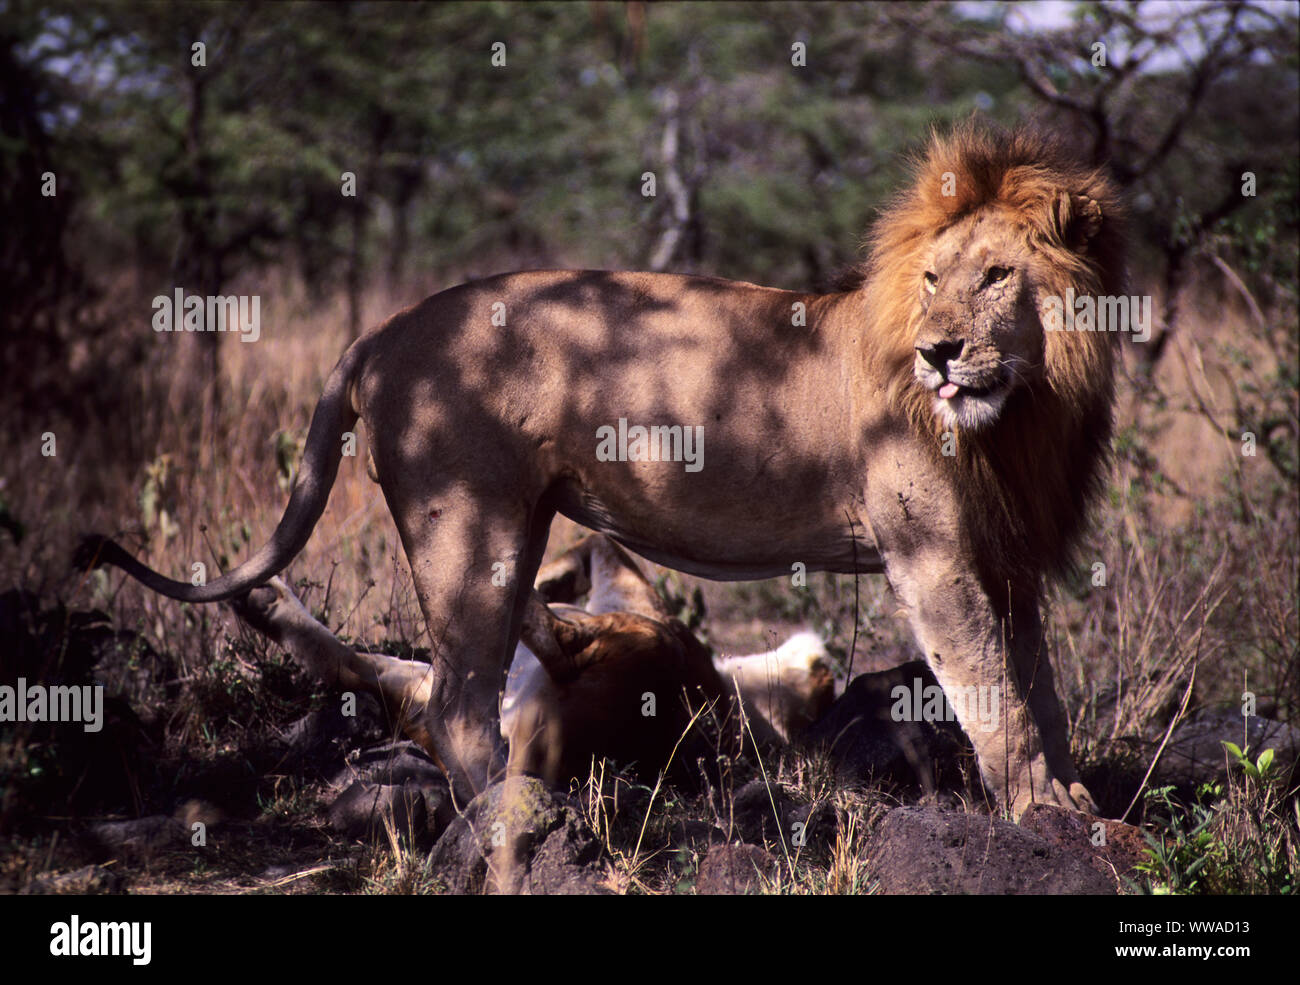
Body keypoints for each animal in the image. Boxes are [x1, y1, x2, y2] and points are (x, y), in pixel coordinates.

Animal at [79, 122, 1125, 818]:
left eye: (996, 276)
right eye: (932, 280)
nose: (939, 352)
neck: (1027, 409)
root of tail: (382, 330)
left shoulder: (1011, 560)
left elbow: (1039, 687)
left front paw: (1073, 797)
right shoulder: (931, 557)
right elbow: (993, 695)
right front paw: (1043, 813)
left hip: (522, 523)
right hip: (469, 532)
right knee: (458, 704)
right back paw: (507, 818)